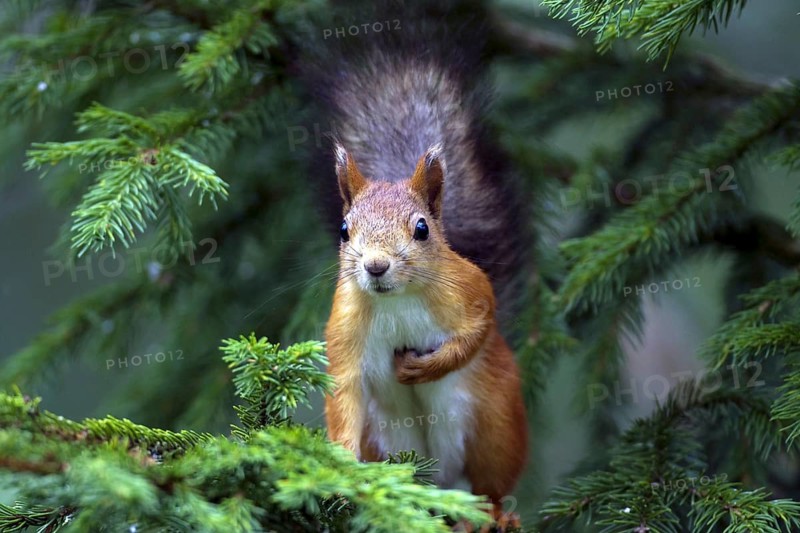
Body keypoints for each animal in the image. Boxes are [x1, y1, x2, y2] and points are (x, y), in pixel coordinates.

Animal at [304, 0, 529, 522]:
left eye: (422, 229)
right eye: (344, 231)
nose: (375, 266)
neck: (396, 300)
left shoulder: (468, 289)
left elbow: (477, 329)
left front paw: (424, 368)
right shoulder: (344, 324)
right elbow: (344, 392)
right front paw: (339, 469)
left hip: (495, 422)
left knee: (490, 483)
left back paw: (492, 517)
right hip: (385, 439)